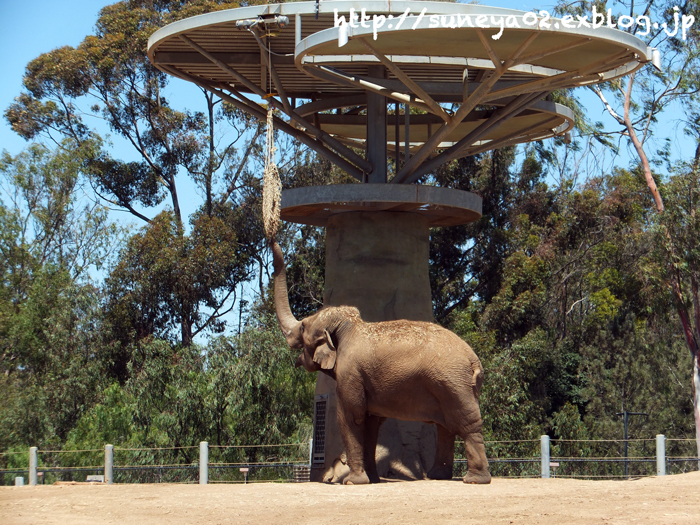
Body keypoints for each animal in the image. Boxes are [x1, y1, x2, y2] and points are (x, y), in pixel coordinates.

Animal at [270, 242, 490, 484]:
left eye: (303, 327)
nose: (272, 237)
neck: (350, 327)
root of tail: (474, 361)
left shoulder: (351, 373)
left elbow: (352, 417)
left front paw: (352, 481)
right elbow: (371, 423)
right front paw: (372, 479)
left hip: (454, 383)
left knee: (466, 424)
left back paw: (474, 479)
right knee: (446, 427)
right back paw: (438, 477)